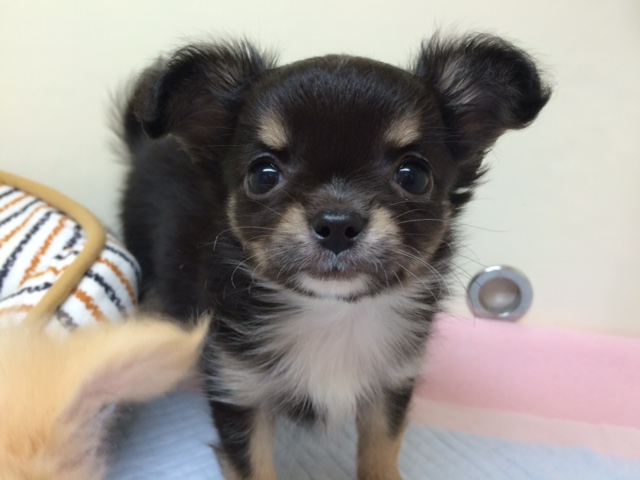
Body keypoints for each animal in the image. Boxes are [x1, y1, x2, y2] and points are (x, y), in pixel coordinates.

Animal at [119, 32, 550, 480]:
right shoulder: (239, 389)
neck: (334, 312)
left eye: (413, 175)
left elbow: (381, 455)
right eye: (263, 175)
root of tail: (147, 146)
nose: (338, 223)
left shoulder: (390, 387)